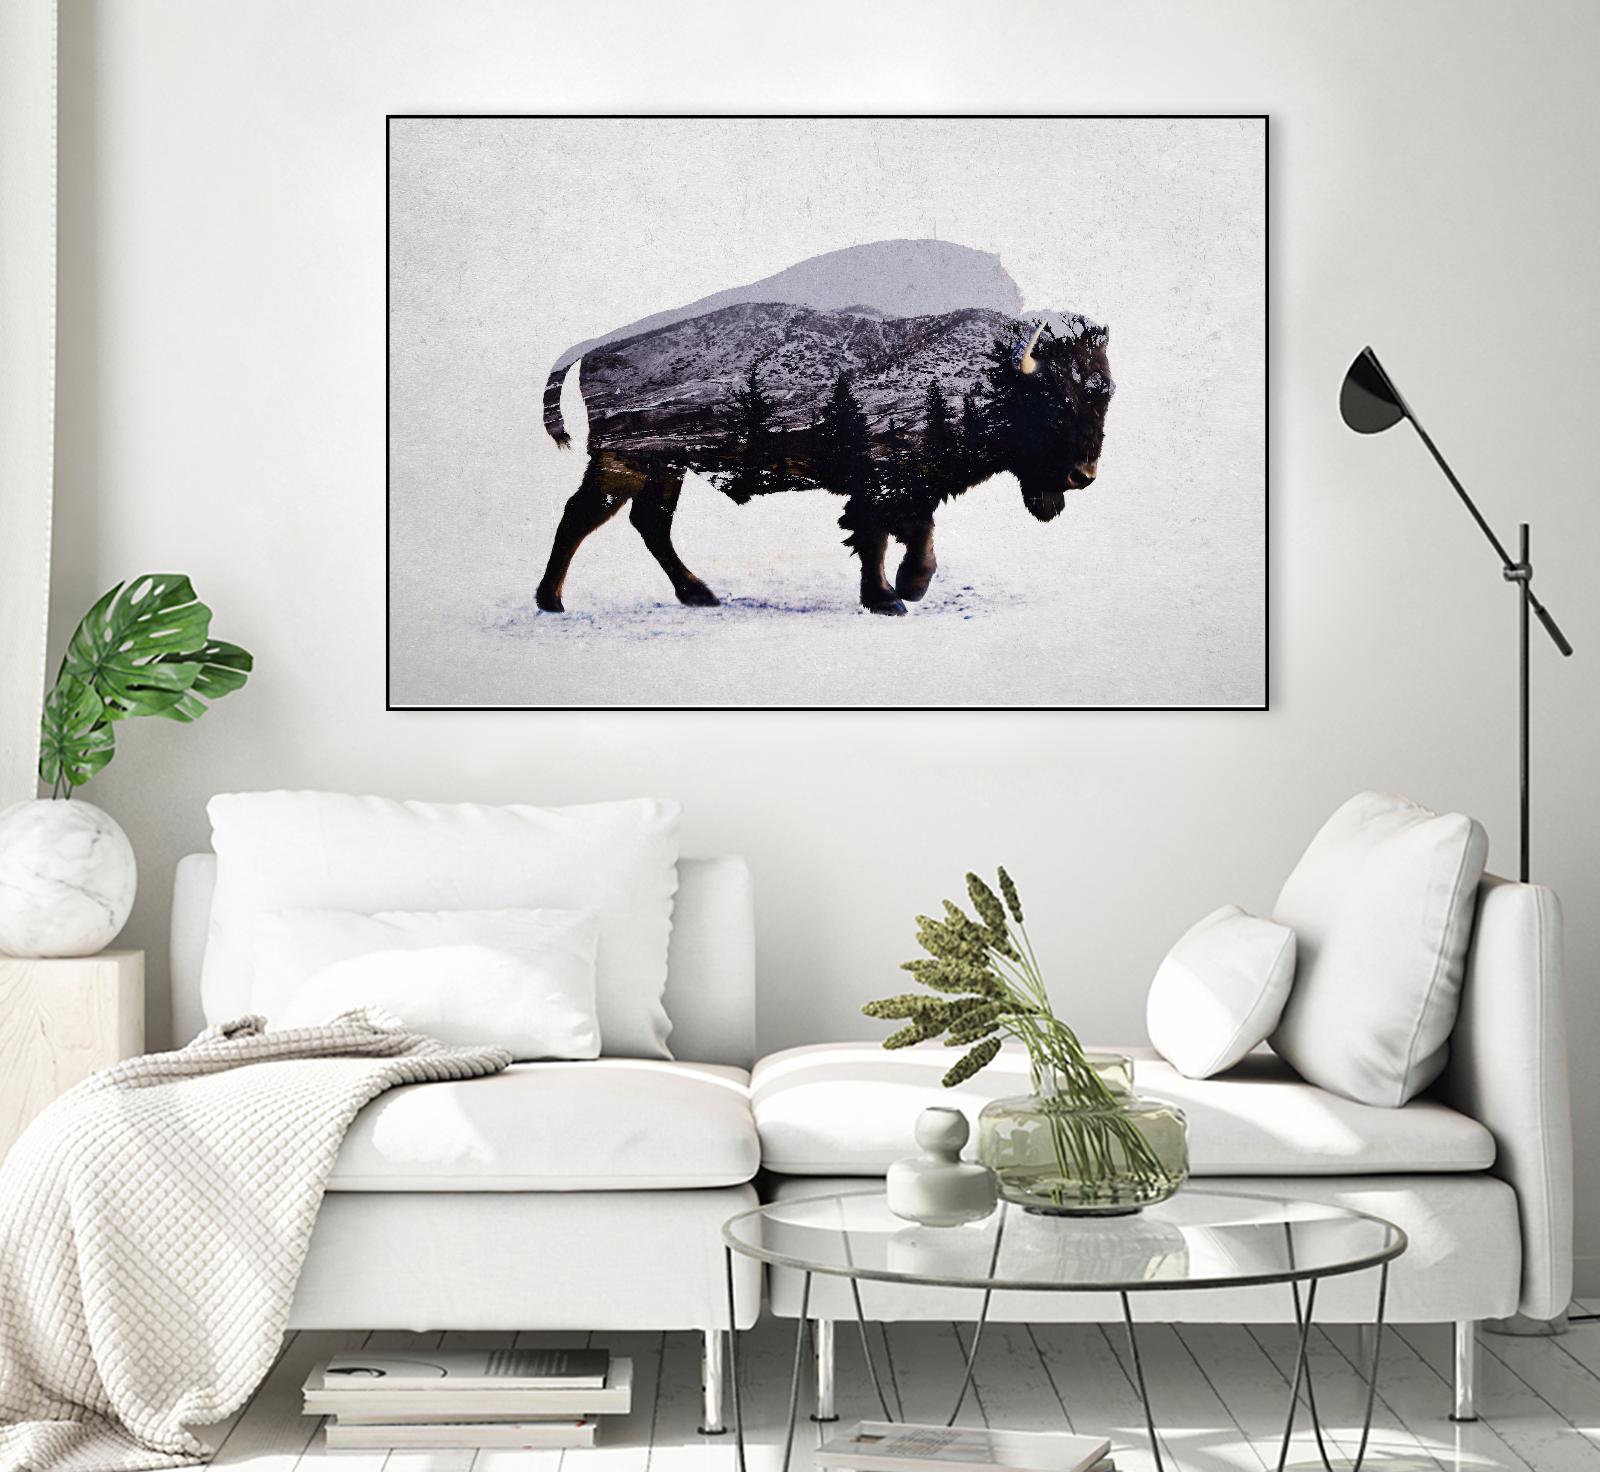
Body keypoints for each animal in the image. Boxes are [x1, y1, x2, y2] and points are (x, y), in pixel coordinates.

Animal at [536, 243, 1113, 616]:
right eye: (1057, 405)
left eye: (1103, 397)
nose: (1084, 476)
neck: (987, 371)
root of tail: (593, 348)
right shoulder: (882, 482)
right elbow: (877, 536)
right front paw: (890, 599)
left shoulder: (915, 485)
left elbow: (916, 533)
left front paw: (910, 587)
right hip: (624, 461)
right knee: (583, 516)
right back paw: (552, 601)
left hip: (664, 464)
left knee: (649, 523)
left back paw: (699, 594)